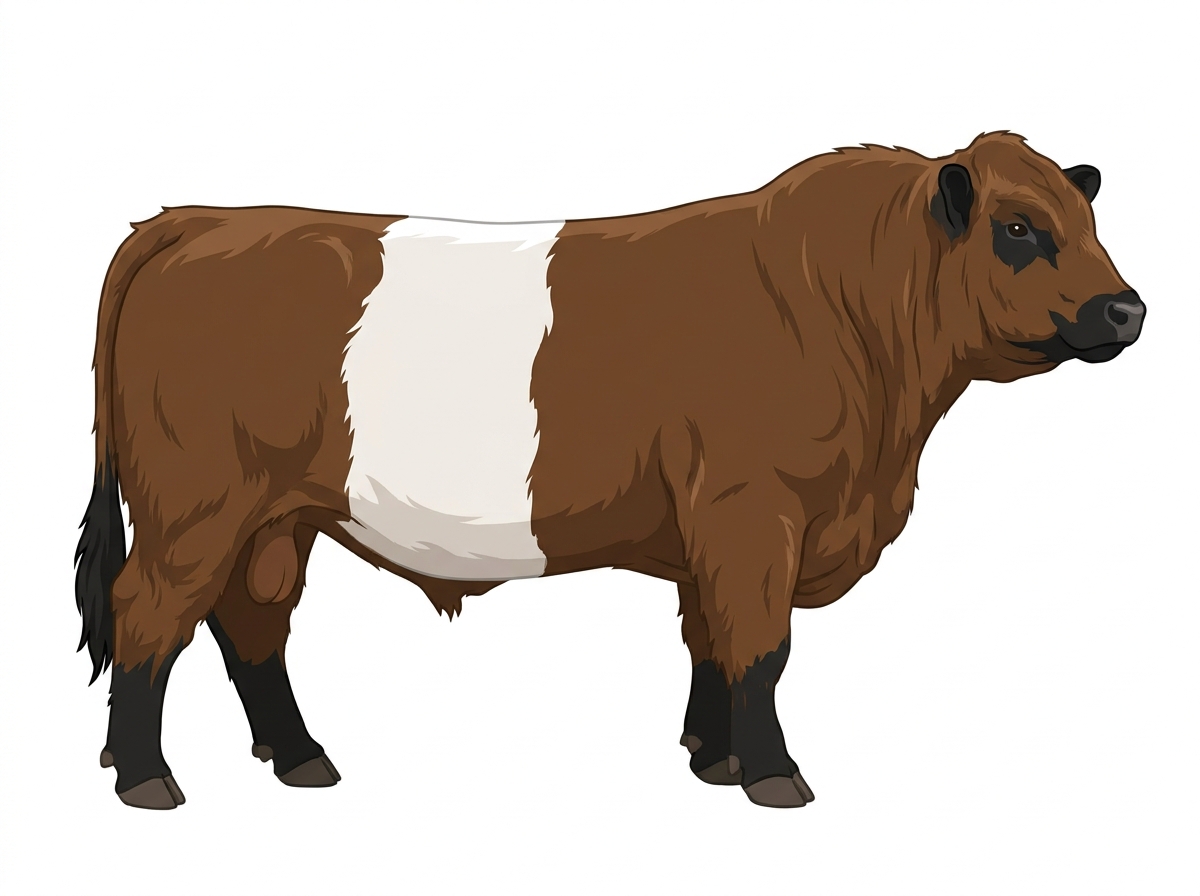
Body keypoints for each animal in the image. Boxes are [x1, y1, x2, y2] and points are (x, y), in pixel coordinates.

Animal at [74, 132, 1144, 809]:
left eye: (1086, 220)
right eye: (1019, 228)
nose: (1126, 309)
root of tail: (192, 219)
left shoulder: (716, 529)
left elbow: (712, 643)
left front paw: (714, 762)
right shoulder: (753, 512)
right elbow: (762, 646)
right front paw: (775, 778)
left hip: (275, 514)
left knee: (250, 623)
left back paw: (300, 760)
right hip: (194, 504)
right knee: (148, 613)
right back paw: (145, 780)